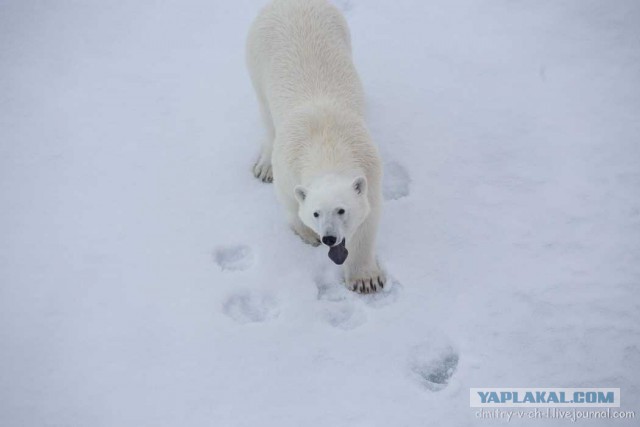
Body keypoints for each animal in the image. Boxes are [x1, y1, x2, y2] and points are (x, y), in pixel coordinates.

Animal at [246, 0, 384, 292]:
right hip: (256, 57)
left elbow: (367, 219)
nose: (329, 238)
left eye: (341, 210)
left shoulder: (370, 168)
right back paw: (263, 167)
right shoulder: (288, 167)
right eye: (316, 213)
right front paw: (308, 234)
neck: (326, 145)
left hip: (342, 28)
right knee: (265, 114)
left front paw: (366, 279)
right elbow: (289, 202)